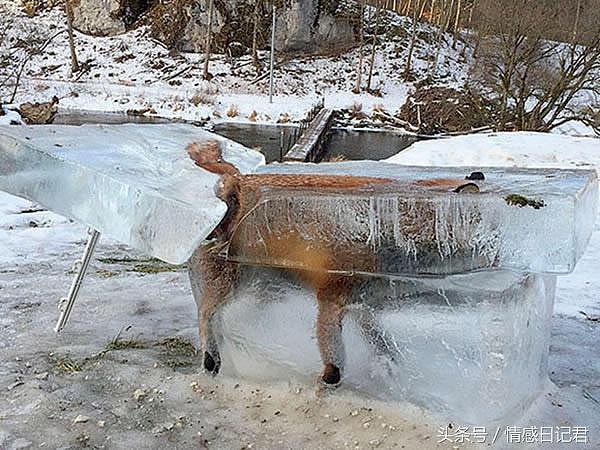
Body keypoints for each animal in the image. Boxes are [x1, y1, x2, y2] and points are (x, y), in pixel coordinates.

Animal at [188, 139, 478, 384]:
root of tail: (237, 179)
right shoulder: (332, 297)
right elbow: (335, 358)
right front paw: (328, 380)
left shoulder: (364, 304)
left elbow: (381, 341)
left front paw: (387, 365)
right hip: (232, 283)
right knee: (206, 313)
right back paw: (211, 357)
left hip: (263, 288)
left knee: (224, 318)